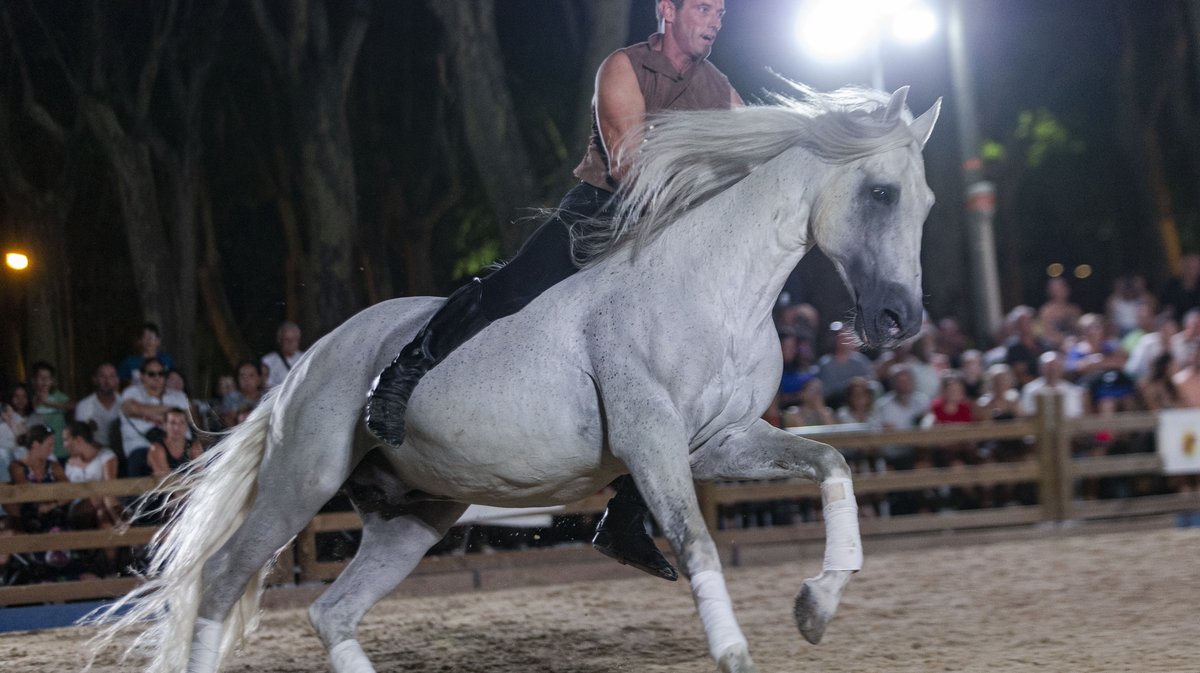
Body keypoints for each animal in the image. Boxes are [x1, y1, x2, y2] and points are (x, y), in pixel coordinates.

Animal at [88, 85, 940, 671]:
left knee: (331, 612)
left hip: (412, 517)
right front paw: (735, 649)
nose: (901, 318)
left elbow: (832, 463)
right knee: (224, 576)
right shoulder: (654, 438)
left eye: (927, 200)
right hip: (303, 480)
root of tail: (307, 363)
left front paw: (816, 603)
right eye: (881, 192)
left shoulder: (717, 442)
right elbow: (699, 541)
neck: (712, 288)